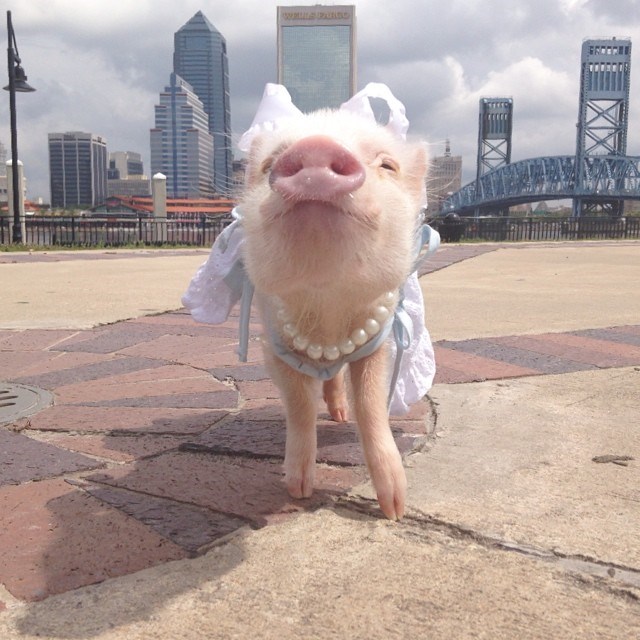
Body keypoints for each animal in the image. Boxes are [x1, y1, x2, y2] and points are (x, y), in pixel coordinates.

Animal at [237, 91, 429, 520]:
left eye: (387, 164)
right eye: (268, 165)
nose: (316, 147)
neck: (328, 309)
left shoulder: (377, 342)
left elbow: (371, 405)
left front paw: (394, 509)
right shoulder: (272, 346)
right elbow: (299, 405)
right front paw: (298, 491)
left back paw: (340, 416)